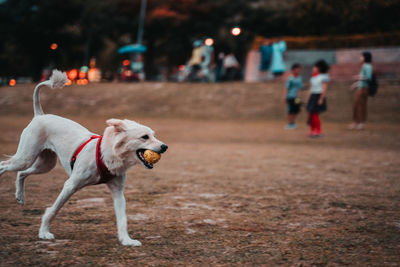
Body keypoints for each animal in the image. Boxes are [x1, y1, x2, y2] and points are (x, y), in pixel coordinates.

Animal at [0, 70, 166, 247]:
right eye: (145, 137)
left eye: (153, 135)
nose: (165, 147)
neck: (106, 155)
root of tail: (40, 115)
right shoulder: (70, 185)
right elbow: (53, 210)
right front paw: (44, 232)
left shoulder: (118, 192)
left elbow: (122, 219)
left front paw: (126, 240)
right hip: (26, 157)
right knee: (4, 165)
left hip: (44, 164)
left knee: (21, 173)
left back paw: (20, 196)